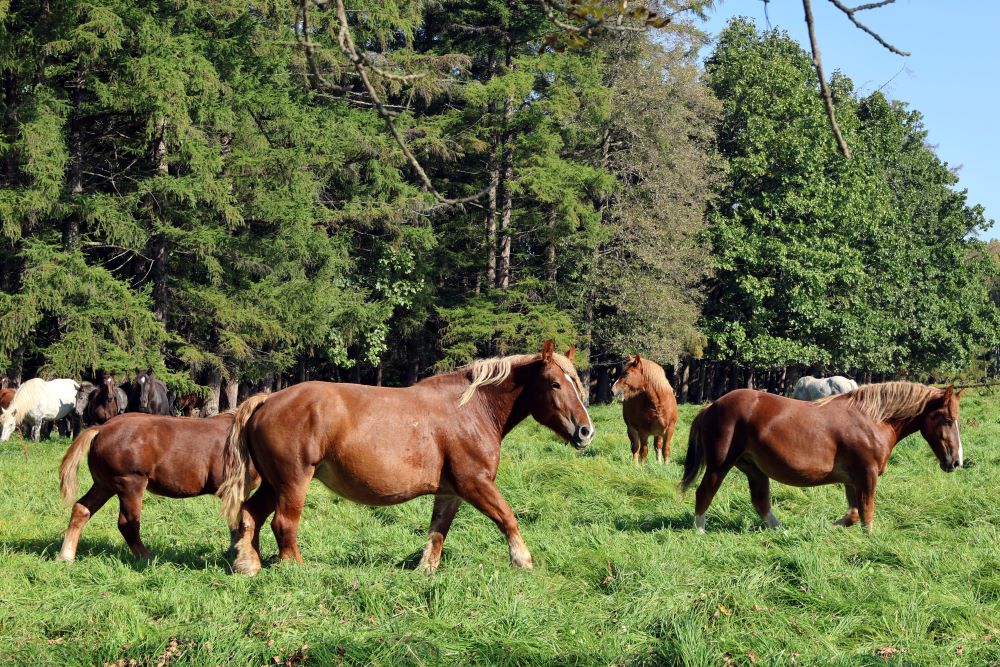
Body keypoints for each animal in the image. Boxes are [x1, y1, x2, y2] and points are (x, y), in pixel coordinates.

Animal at [56, 408, 262, 564]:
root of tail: (101, 429)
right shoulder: (234, 491)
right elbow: (236, 524)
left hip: (104, 485)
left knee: (81, 509)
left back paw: (65, 557)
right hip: (130, 485)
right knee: (127, 524)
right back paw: (147, 559)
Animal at [217, 342, 592, 576]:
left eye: (576, 382)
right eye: (555, 384)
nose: (586, 431)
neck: (470, 410)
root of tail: (268, 401)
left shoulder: (451, 492)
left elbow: (438, 531)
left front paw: (425, 568)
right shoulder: (475, 483)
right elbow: (507, 518)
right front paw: (522, 559)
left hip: (273, 483)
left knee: (250, 515)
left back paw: (248, 563)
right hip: (293, 481)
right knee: (283, 523)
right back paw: (293, 566)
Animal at [680, 380, 960, 532]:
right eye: (947, 419)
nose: (956, 461)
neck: (871, 420)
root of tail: (712, 406)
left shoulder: (853, 480)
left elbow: (854, 512)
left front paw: (834, 526)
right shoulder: (867, 475)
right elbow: (867, 513)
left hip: (753, 469)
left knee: (761, 502)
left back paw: (782, 531)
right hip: (719, 465)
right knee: (704, 493)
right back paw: (700, 531)